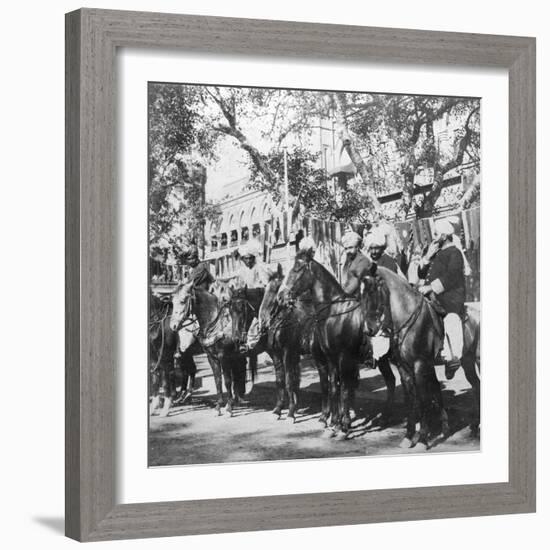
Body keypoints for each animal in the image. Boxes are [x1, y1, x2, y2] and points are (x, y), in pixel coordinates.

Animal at [170, 282, 254, 416]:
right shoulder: (211, 357)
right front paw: (219, 406)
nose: (172, 325)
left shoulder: (224, 357)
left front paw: (228, 408)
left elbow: (227, 381)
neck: (214, 326)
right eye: (172, 301)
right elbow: (217, 380)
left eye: (183, 301)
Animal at [280, 251, 370, 440]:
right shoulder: (331, 358)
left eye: (297, 269)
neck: (335, 314)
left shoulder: (344, 358)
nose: (282, 296)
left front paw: (344, 427)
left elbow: (343, 389)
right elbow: (333, 387)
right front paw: (335, 424)